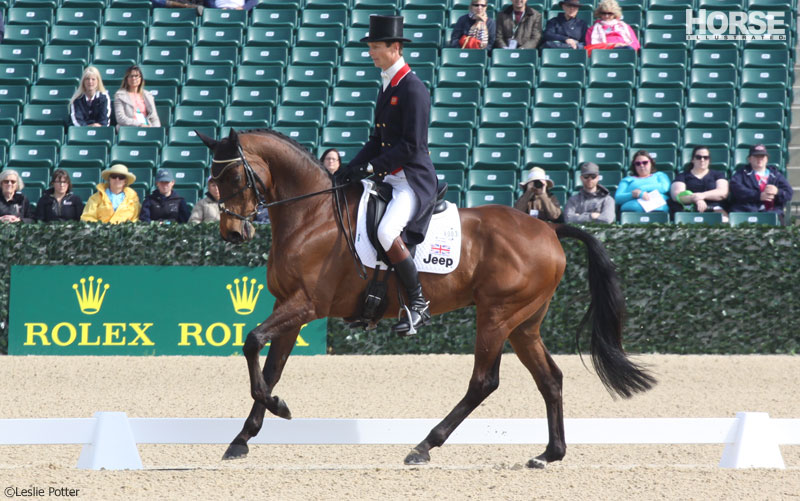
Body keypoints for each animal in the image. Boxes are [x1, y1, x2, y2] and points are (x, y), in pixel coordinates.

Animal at [197, 127, 652, 466]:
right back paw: (549, 454)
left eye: (234, 177)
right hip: (524, 323)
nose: (232, 233)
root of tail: (549, 229)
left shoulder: (306, 305)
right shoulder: (288, 306)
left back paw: (425, 445)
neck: (313, 215)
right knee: (550, 379)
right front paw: (243, 436)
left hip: (497, 316)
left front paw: (278, 408)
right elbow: (269, 366)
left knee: (483, 382)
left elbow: (252, 342)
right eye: (212, 181)